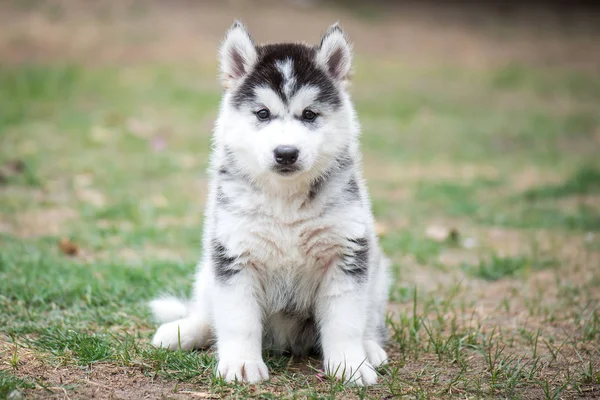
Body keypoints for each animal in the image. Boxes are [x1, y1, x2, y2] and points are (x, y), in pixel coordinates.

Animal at [151, 21, 390, 384]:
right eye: (263, 113)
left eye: (309, 114)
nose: (286, 153)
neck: (286, 200)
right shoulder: (234, 255)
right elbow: (238, 321)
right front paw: (241, 364)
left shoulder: (346, 253)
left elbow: (345, 321)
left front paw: (350, 364)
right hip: (207, 271)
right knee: (207, 314)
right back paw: (183, 331)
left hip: (376, 272)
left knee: (369, 320)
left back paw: (371, 348)